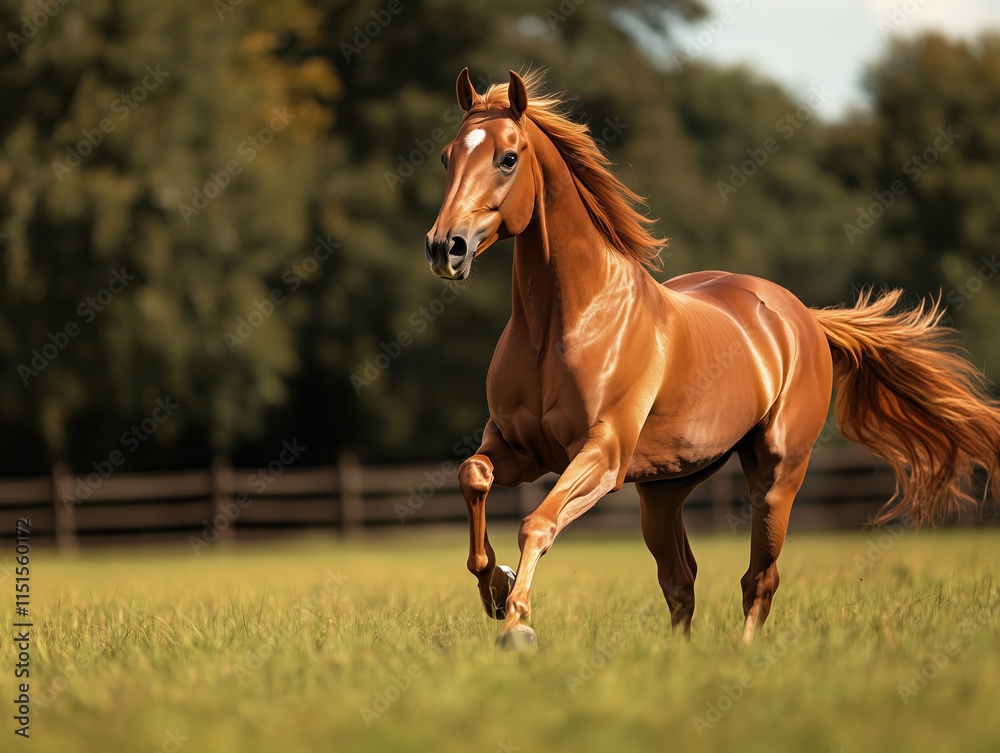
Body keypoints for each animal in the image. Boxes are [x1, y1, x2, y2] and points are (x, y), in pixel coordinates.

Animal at [423, 68, 1000, 651]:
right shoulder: (519, 447)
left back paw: (741, 656)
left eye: (507, 158)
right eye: (448, 156)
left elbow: (537, 523)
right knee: (681, 579)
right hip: (664, 489)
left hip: (775, 476)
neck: (563, 325)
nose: (445, 247)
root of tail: (806, 319)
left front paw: (517, 622)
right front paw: (496, 586)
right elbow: (474, 475)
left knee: (758, 580)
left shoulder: (602, 456)